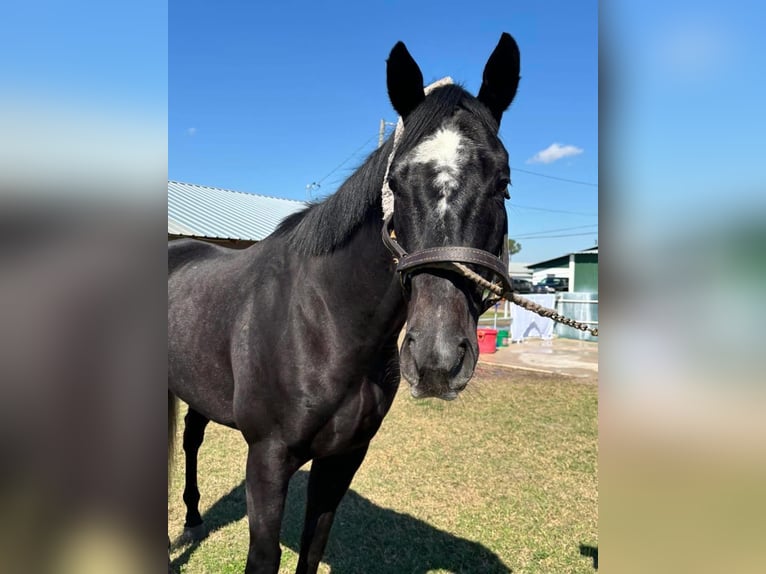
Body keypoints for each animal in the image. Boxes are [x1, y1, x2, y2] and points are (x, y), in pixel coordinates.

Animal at [170, 32, 520, 574]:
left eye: (502, 181)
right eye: (395, 182)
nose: (436, 361)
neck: (323, 323)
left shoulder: (343, 457)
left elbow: (312, 547)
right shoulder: (267, 459)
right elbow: (265, 556)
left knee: (190, 436)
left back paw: (191, 517)